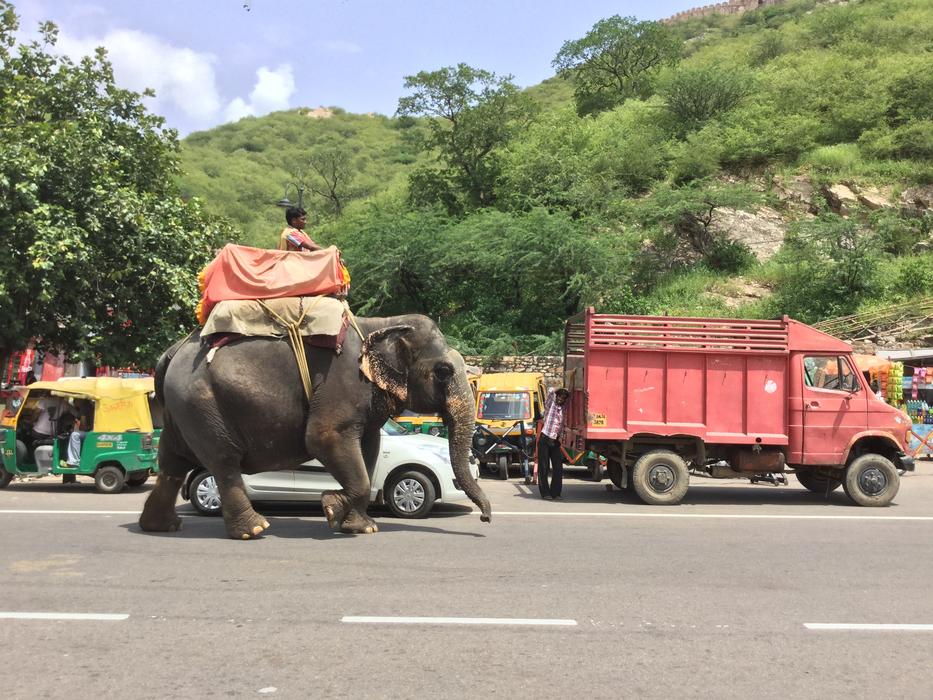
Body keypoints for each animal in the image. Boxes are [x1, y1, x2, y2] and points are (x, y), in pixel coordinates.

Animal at [138, 313, 492, 539]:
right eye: (444, 371)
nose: (486, 518)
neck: (380, 324)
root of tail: (171, 353)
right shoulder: (341, 383)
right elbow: (323, 438)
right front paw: (331, 508)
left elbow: (369, 448)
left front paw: (361, 527)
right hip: (203, 404)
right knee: (223, 461)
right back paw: (254, 530)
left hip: (182, 411)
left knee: (172, 461)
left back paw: (161, 527)